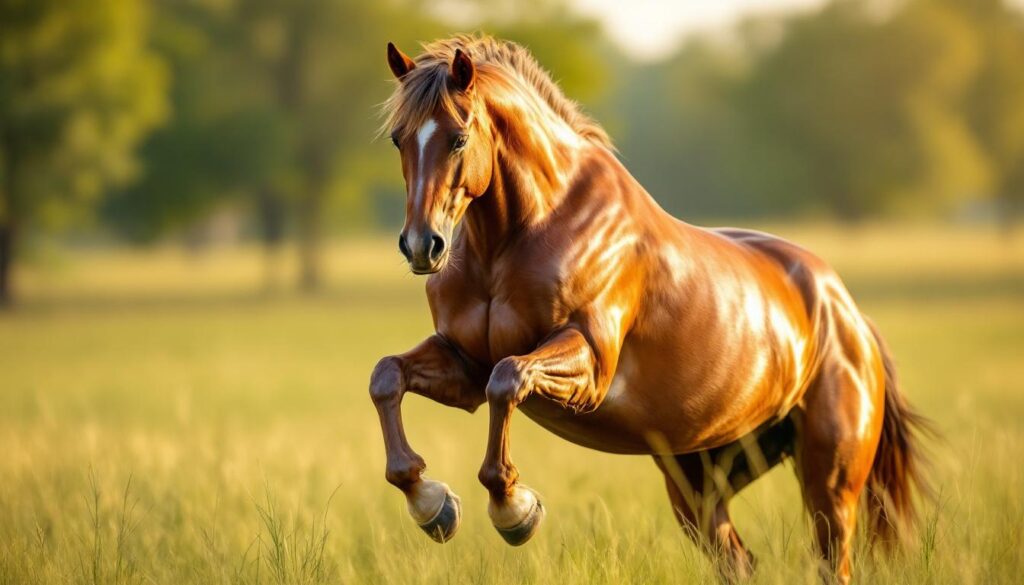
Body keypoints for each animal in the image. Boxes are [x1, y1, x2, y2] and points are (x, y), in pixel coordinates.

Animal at [369, 34, 930, 583]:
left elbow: (507, 381)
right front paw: (432, 504)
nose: (422, 246)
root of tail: (848, 314)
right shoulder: (464, 365)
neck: (520, 236)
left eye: (459, 138)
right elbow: (387, 377)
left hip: (829, 483)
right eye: (399, 139)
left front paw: (515, 511)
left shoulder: (589, 366)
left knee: (831, 560)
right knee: (740, 562)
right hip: (699, 485)